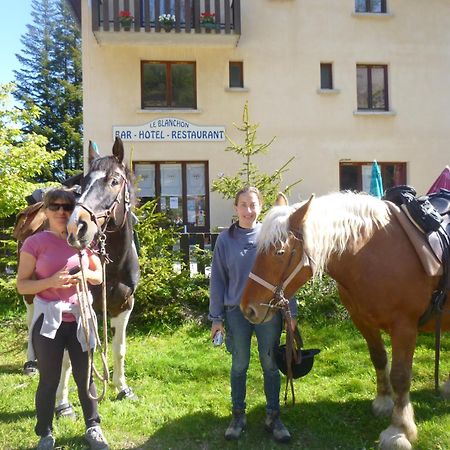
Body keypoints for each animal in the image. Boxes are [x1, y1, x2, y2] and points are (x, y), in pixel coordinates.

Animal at [241, 192, 450, 450]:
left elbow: (401, 376)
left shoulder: (404, 327)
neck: (375, 253)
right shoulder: (363, 321)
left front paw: (399, 430)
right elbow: (379, 359)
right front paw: (383, 402)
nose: (247, 309)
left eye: (279, 252)